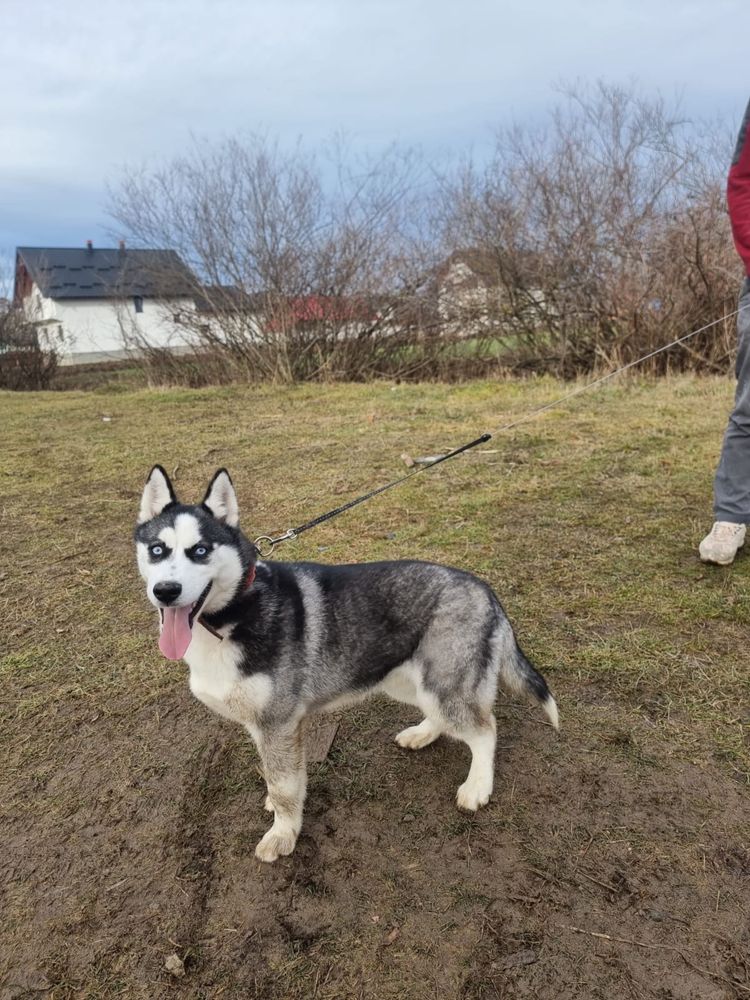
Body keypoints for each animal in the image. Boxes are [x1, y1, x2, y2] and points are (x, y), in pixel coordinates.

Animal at [135, 464, 560, 864]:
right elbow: (281, 778)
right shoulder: (269, 727)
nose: (166, 591)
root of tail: (484, 588)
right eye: (157, 550)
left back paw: (478, 787)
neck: (232, 615)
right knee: (449, 718)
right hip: (409, 681)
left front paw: (283, 834)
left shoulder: (277, 722)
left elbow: (284, 786)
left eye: (200, 550)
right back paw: (423, 734)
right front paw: (281, 809)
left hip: (444, 685)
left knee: (485, 729)